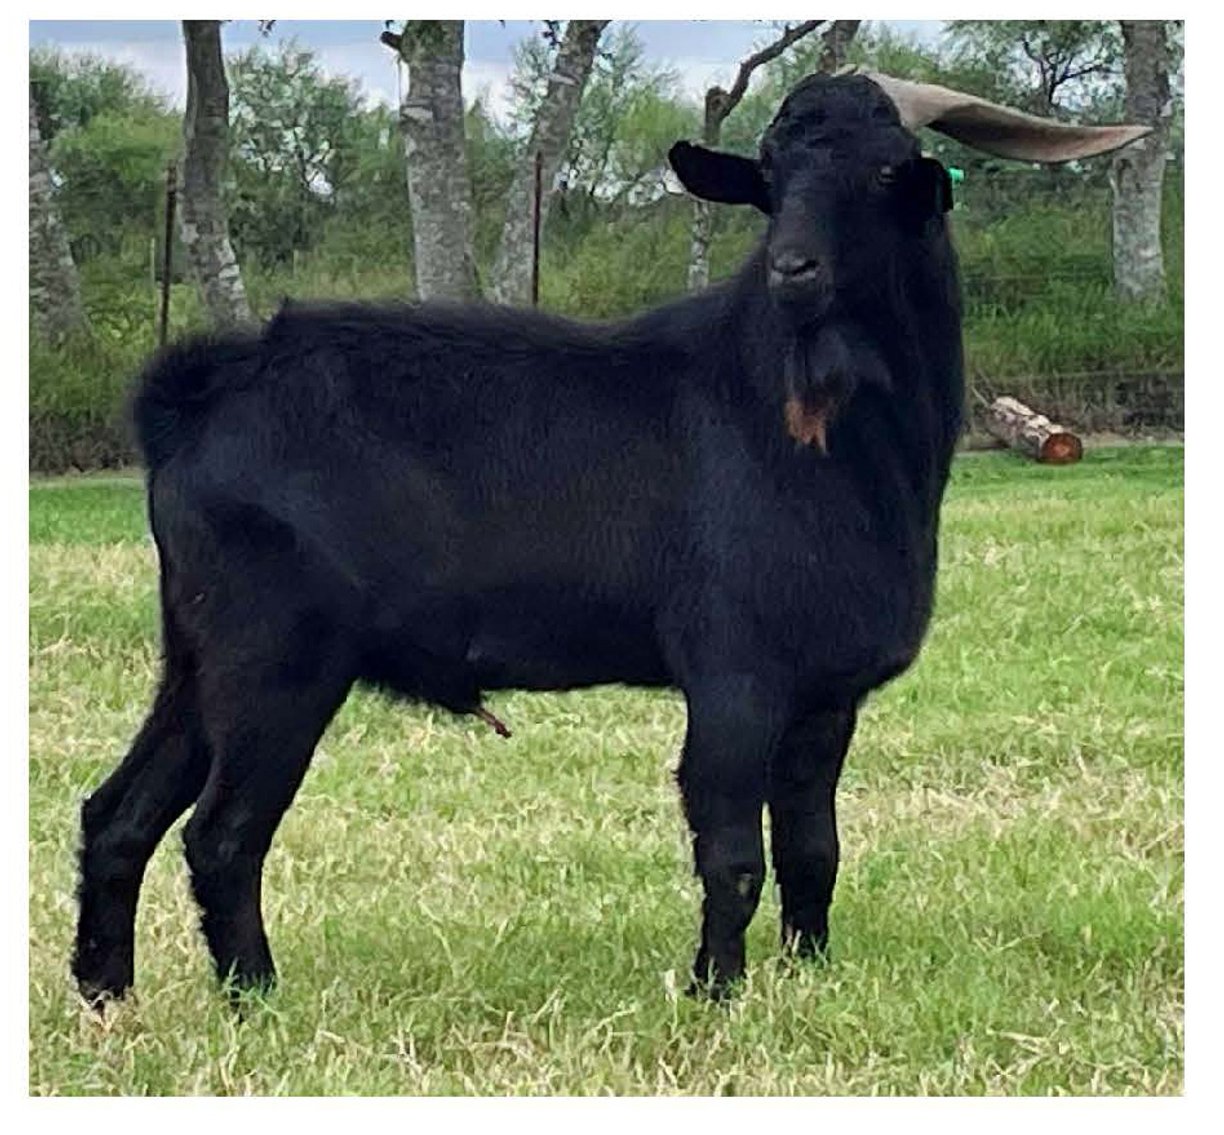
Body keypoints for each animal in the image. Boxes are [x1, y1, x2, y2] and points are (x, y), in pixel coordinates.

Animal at [73, 71, 1146, 1004]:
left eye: (887, 169)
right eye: (770, 175)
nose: (795, 270)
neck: (810, 421)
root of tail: (198, 402)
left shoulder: (826, 692)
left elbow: (814, 847)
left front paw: (811, 974)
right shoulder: (734, 670)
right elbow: (732, 849)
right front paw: (717, 993)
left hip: (198, 655)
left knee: (120, 811)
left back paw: (107, 994)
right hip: (277, 658)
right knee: (222, 833)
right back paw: (256, 997)